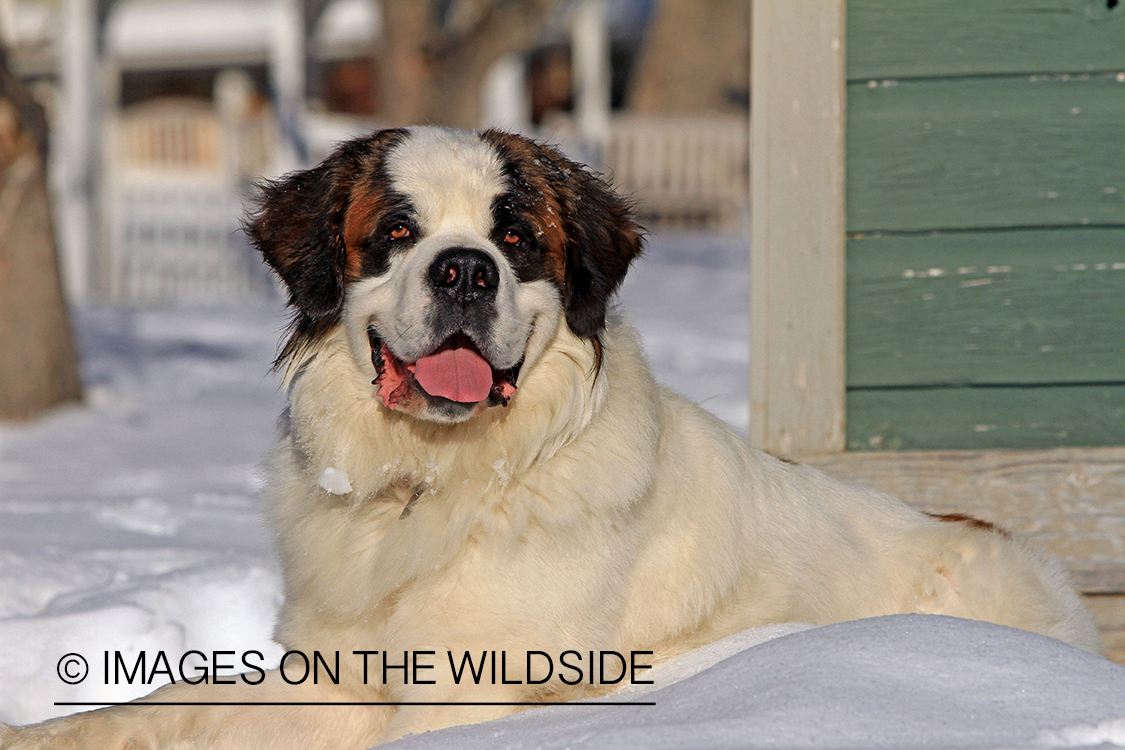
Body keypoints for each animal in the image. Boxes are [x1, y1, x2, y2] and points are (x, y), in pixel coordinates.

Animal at [2, 125, 1098, 746]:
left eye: (515, 238)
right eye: (396, 233)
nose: (465, 270)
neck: (436, 484)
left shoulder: (473, 692)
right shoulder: (335, 674)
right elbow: (147, 713)